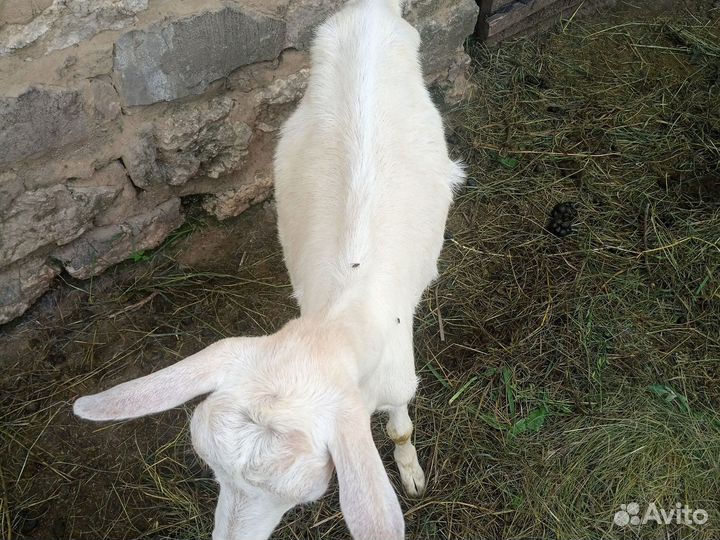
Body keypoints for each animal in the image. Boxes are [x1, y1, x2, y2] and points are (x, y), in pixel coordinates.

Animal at [73, 0, 463, 538]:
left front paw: (411, 473)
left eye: (303, 495)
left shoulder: (398, 375)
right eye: (210, 466)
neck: (335, 320)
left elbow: (401, 428)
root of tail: (370, 10)